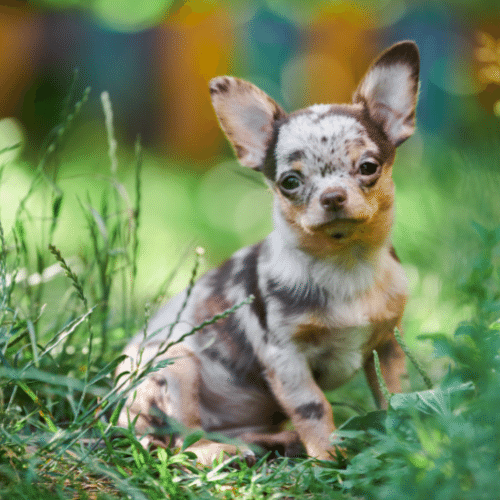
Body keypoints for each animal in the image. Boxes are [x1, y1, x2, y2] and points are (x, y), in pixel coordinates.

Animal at [117, 42, 418, 464]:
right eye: (289, 182)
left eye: (368, 167)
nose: (332, 197)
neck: (345, 262)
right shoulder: (286, 358)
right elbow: (313, 406)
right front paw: (328, 457)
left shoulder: (388, 345)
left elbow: (395, 397)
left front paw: (407, 440)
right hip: (175, 367)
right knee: (185, 440)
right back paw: (223, 451)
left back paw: (273, 443)